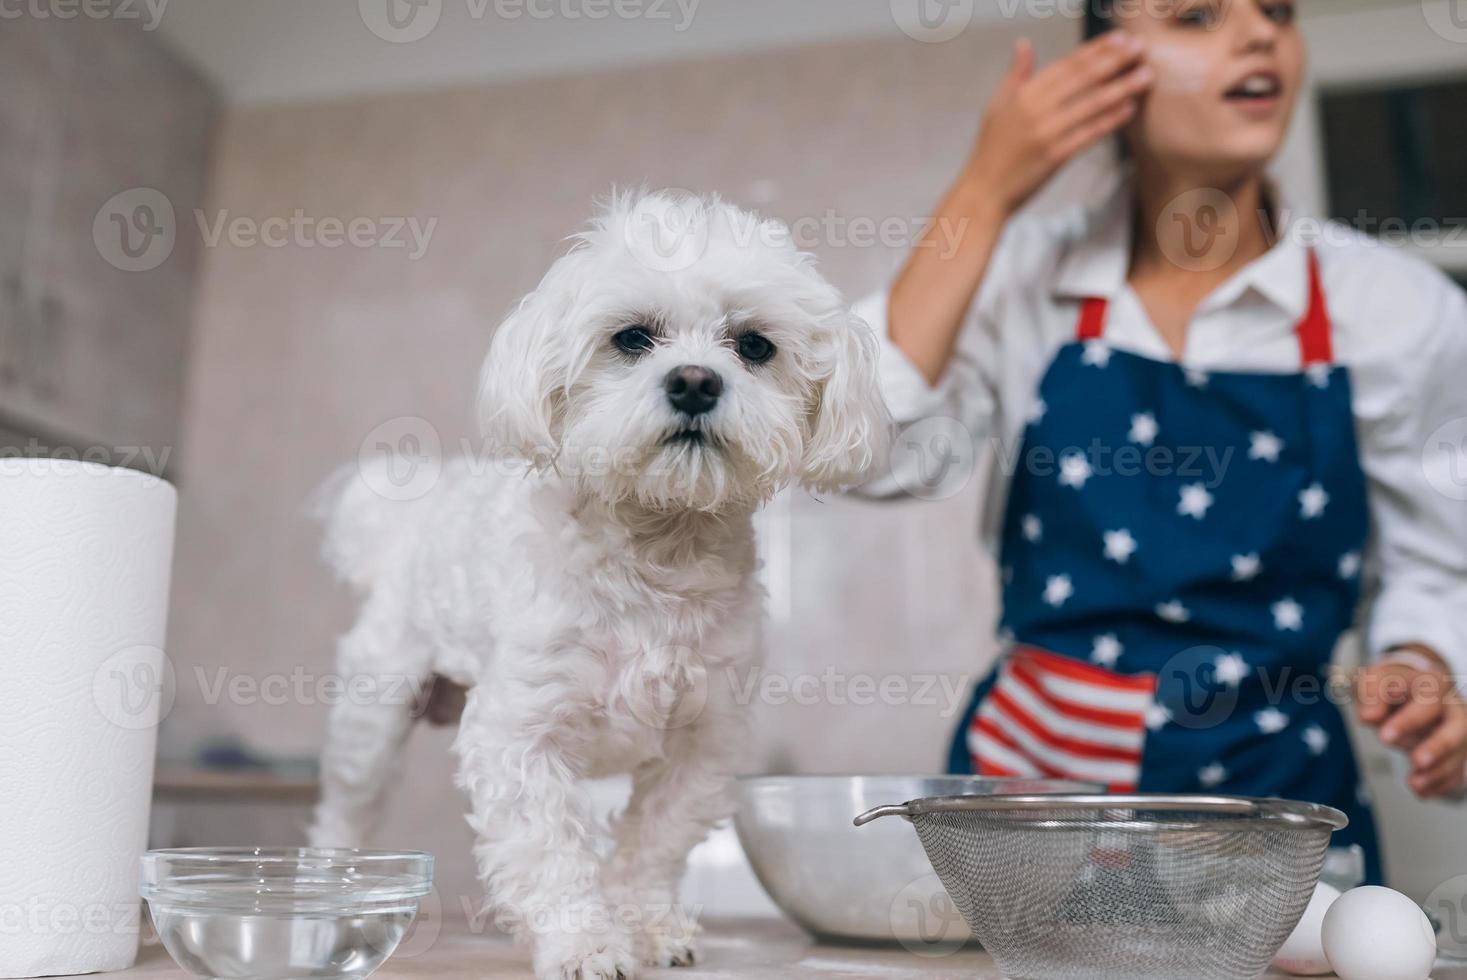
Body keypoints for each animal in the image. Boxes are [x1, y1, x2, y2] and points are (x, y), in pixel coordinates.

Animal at [303, 190, 886, 979]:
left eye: (754, 345)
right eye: (633, 338)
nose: (695, 381)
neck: (657, 552)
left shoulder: (704, 744)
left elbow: (652, 845)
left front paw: (649, 928)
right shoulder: (518, 736)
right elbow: (550, 851)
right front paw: (582, 942)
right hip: (372, 718)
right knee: (344, 812)